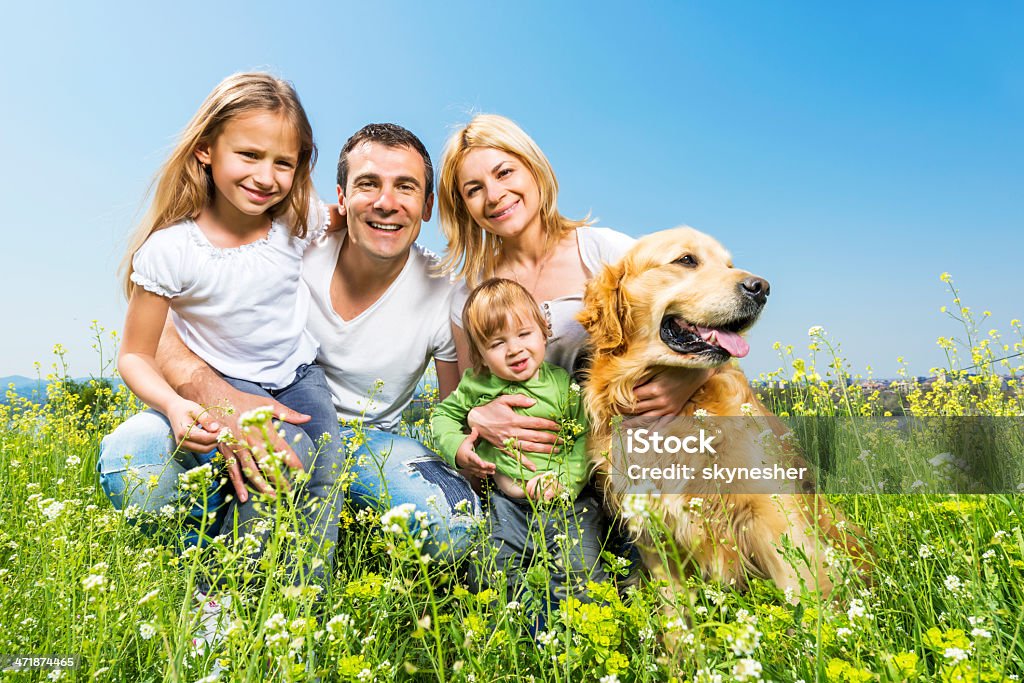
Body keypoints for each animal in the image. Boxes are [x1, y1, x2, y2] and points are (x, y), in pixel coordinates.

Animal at [581, 227, 868, 618]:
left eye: (729, 265)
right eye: (686, 260)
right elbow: (676, 614)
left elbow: (804, 590)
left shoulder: (771, 512)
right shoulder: (653, 532)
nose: (761, 287)